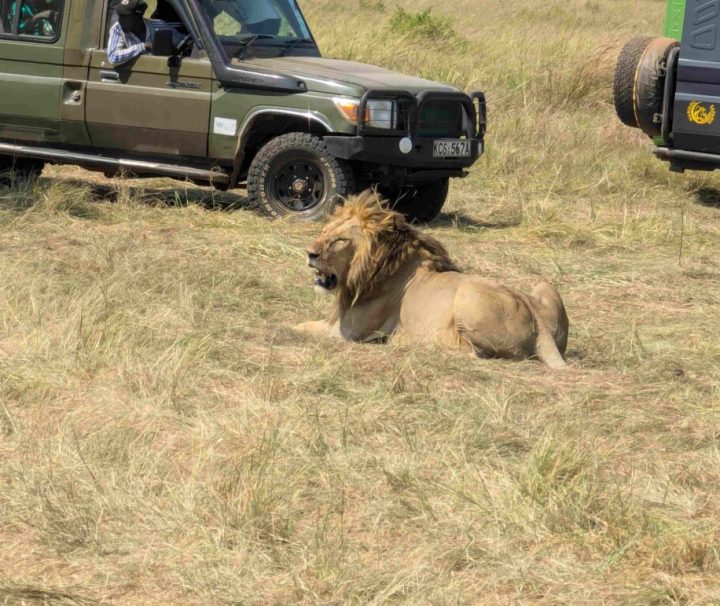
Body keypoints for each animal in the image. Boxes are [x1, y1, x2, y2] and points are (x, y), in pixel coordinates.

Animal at [292, 192, 568, 368]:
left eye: (341, 240)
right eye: (325, 231)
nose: (309, 253)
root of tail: (539, 321)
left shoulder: (347, 333)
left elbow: (301, 327)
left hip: (467, 293)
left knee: (475, 354)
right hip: (545, 286)